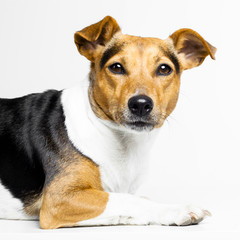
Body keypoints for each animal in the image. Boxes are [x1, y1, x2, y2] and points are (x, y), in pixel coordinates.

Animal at [0, 15, 216, 228]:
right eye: (116, 67)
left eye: (164, 69)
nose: (140, 104)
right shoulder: (59, 199)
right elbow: (128, 200)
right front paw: (175, 209)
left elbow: (135, 200)